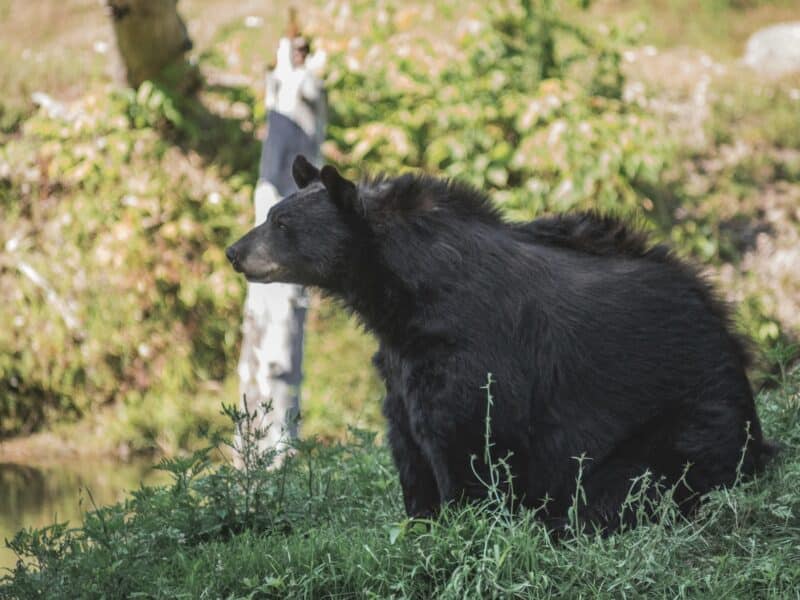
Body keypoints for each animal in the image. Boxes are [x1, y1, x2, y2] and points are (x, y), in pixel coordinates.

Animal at [226, 155, 776, 532]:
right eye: (272, 213)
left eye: (280, 224)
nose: (234, 251)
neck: (401, 295)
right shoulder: (402, 360)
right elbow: (407, 442)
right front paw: (419, 520)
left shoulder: (471, 348)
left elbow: (466, 437)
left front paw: (464, 520)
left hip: (681, 420)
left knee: (629, 485)